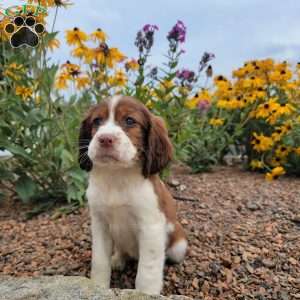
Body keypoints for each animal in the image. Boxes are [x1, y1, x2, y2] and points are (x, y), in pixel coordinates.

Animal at [79, 96, 188, 296]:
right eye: (97, 121)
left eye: (130, 121)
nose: (105, 139)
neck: (116, 176)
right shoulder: (99, 224)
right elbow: (99, 261)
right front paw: (97, 287)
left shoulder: (151, 227)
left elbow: (147, 270)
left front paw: (146, 293)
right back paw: (118, 259)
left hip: (179, 245)